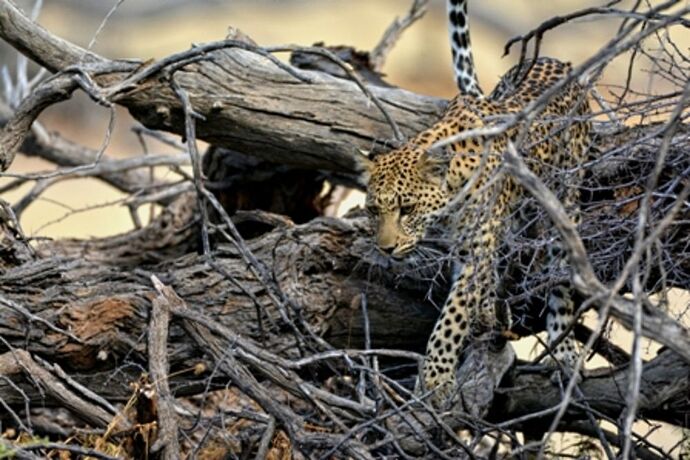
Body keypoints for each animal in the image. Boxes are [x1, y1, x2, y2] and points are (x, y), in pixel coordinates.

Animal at [360, 0, 592, 402]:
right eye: (375, 210)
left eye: (407, 209)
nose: (386, 248)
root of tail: (557, 61)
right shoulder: (466, 249)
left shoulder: (474, 249)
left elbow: (451, 317)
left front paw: (436, 379)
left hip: (565, 201)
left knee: (560, 278)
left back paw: (563, 350)